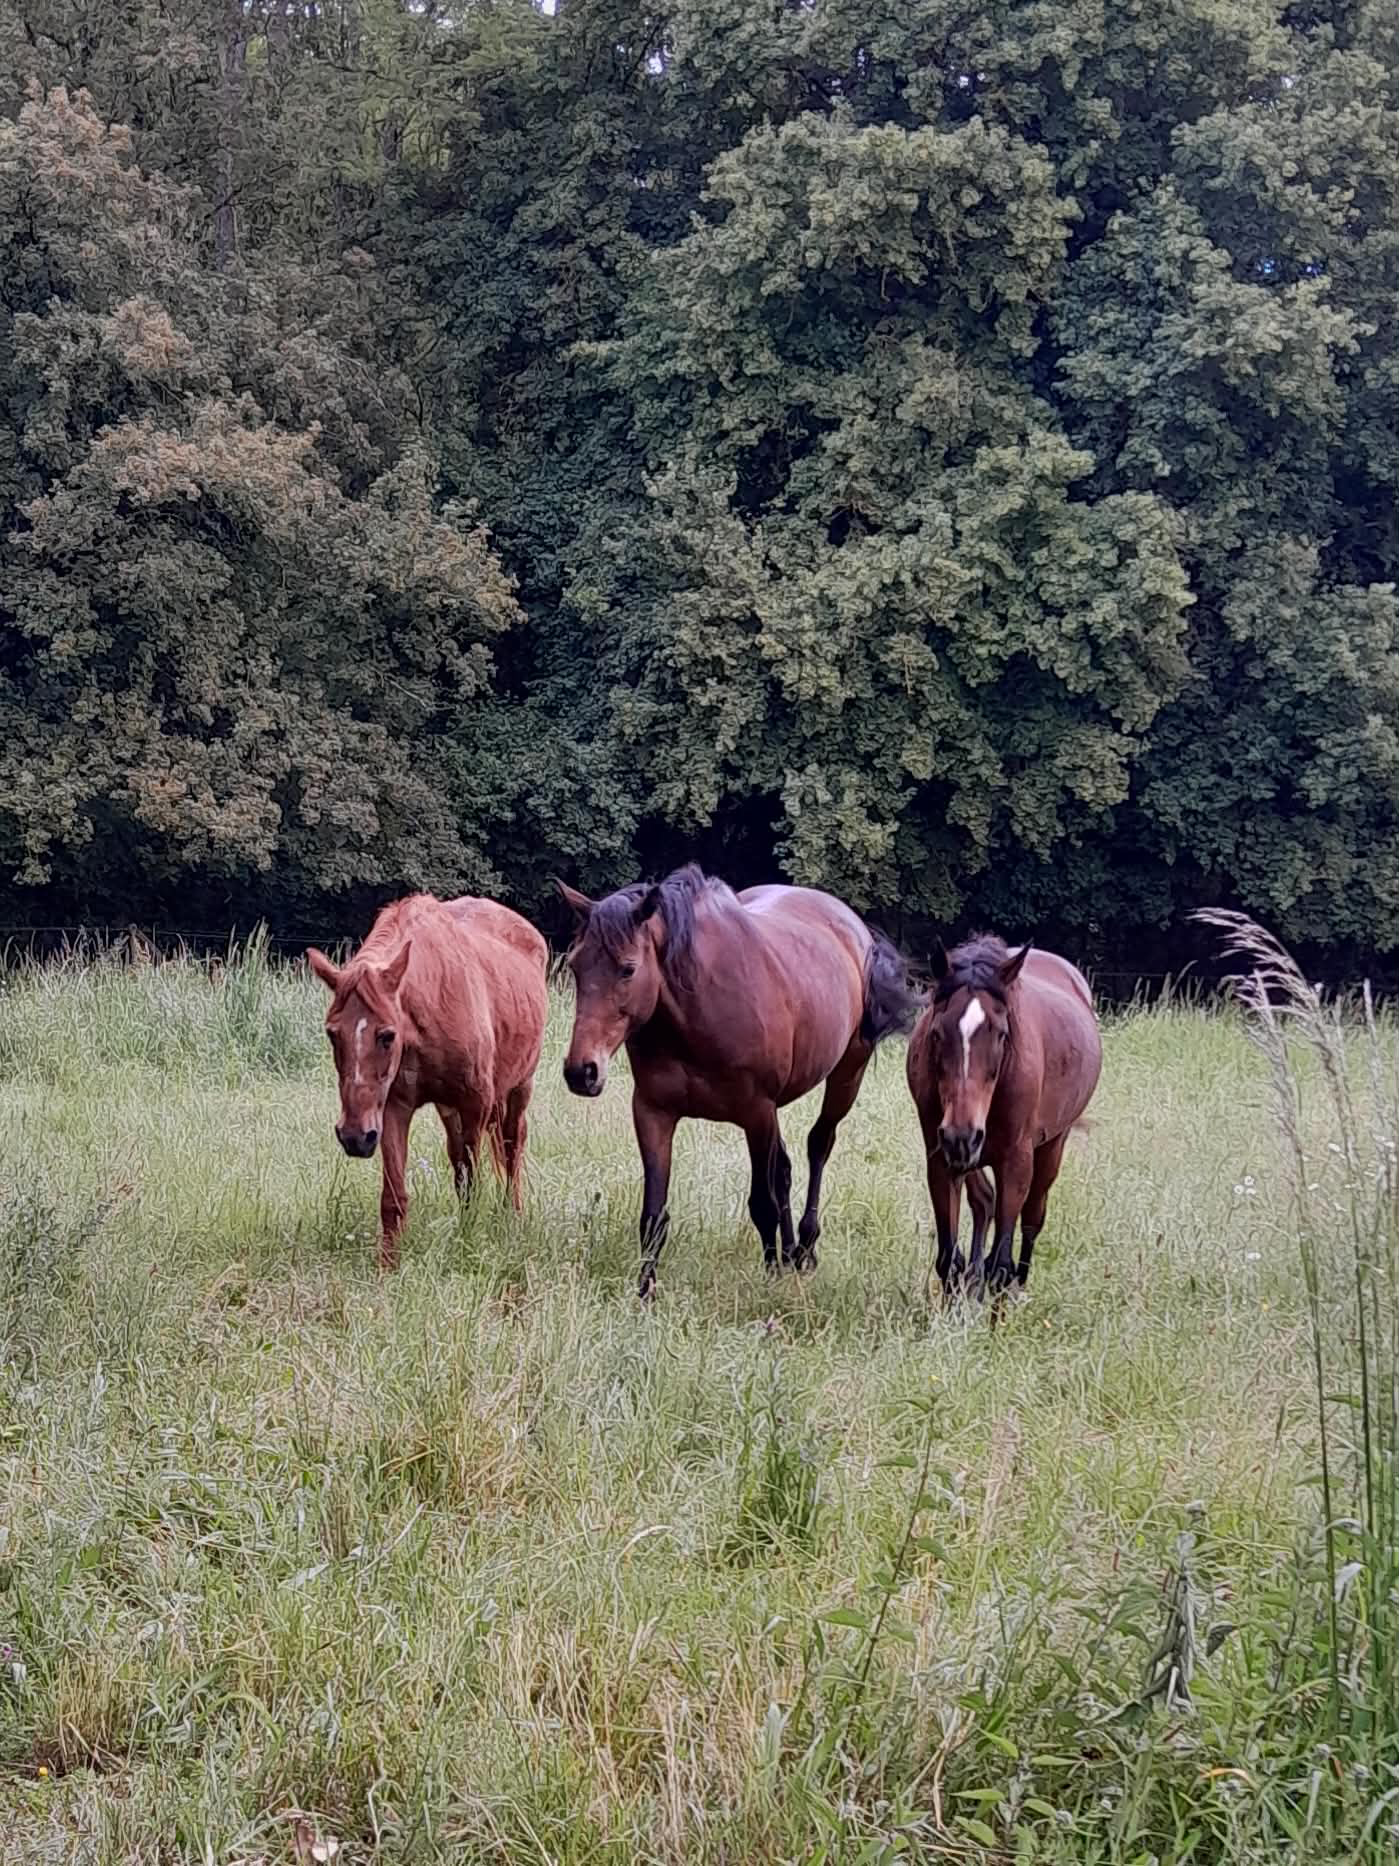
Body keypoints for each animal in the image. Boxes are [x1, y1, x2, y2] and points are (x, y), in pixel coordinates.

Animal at [307, 893, 548, 1269]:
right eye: (333, 1034)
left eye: (387, 1035)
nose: (354, 1137)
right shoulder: (393, 1108)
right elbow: (394, 1196)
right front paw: (388, 1265)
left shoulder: (475, 1103)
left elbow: (473, 1180)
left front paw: (468, 1242)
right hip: (449, 1109)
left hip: (519, 1087)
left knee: (511, 1147)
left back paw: (513, 1214)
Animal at [557, 864, 919, 1298]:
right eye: (576, 966)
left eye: (628, 969)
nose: (581, 1070)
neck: (697, 1012)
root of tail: (852, 925)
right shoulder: (652, 1112)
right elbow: (653, 1215)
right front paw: (644, 1291)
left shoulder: (756, 1113)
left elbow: (762, 1204)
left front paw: (771, 1277)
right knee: (785, 1169)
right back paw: (791, 1250)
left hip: (847, 1075)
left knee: (819, 1145)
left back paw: (804, 1247)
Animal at [905, 934, 1101, 1299]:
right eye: (937, 1033)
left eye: (1000, 1033)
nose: (961, 1135)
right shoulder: (941, 1157)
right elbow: (948, 1259)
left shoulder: (1015, 1161)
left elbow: (1001, 1264)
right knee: (983, 1201)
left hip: (1051, 1146)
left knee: (1033, 1217)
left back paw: (1017, 1286)